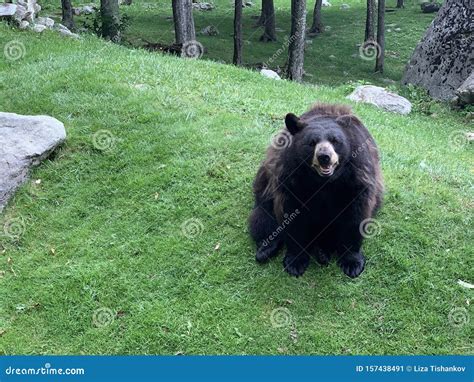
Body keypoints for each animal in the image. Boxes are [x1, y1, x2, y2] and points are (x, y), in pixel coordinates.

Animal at [250, 103, 384, 278]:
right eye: (312, 142)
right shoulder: (292, 179)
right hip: (265, 188)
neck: (324, 182)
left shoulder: (355, 180)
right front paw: (295, 262)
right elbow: (293, 215)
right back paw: (266, 249)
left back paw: (322, 251)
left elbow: (355, 217)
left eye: (335, 141)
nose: (324, 157)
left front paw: (352, 263)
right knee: (264, 218)